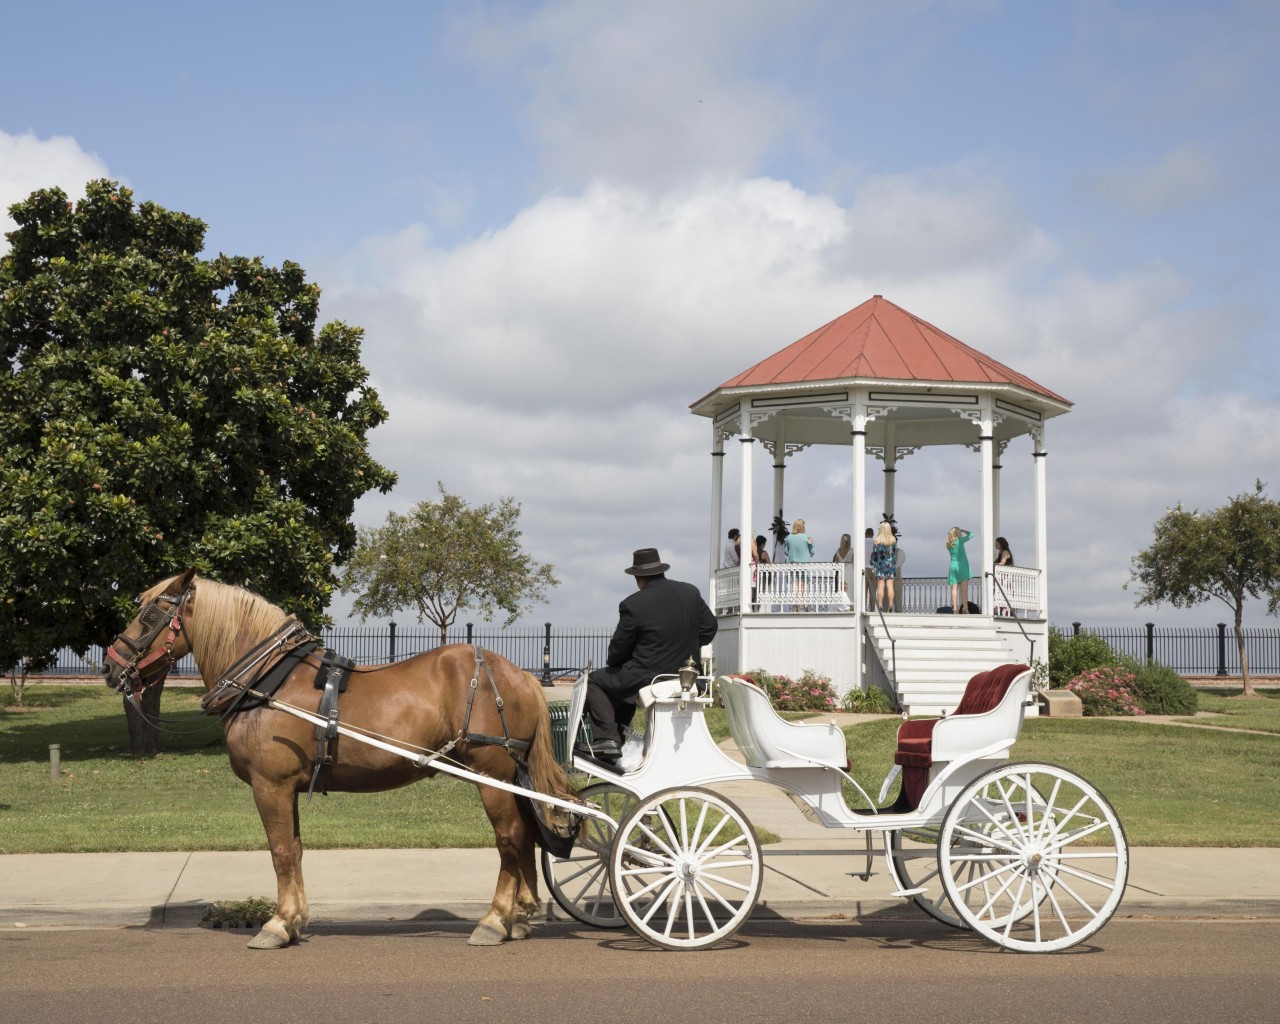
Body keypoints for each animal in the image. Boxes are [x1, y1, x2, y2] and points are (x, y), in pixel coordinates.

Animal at [102, 563, 578, 947]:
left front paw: (277, 925)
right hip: (512, 775)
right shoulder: (286, 788)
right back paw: (520, 916)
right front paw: (294, 920)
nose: (110, 666)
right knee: (529, 834)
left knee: (510, 838)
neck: (266, 679)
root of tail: (517, 673)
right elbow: (294, 850)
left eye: (149, 614)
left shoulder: (270, 785)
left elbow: (280, 851)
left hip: (491, 773)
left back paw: (495, 921)